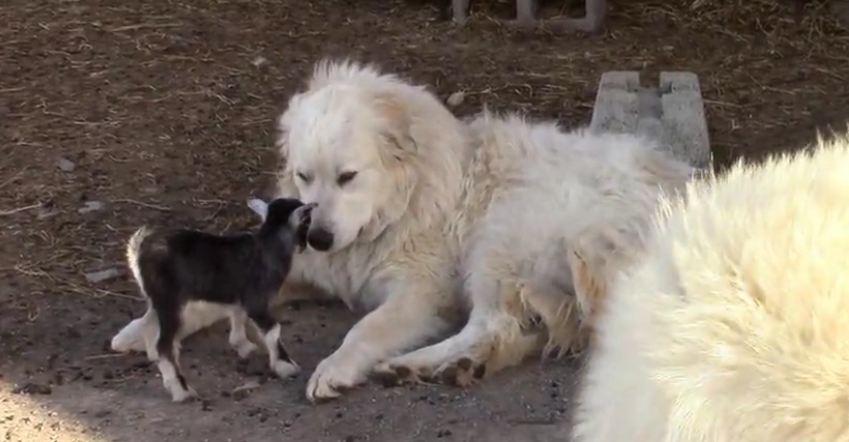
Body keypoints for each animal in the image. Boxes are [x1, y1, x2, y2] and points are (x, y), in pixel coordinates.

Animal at [124, 199, 314, 402]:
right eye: (306, 222)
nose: (305, 246)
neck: (267, 249)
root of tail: (137, 249)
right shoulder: (256, 299)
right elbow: (273, 329)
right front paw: (286, 366)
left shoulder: (240, 296)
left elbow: (238, 316)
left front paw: (243, 345)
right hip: (171, 300)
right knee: (164, 345)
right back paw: (181, 390)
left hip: (157, 299)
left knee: (149, 325)